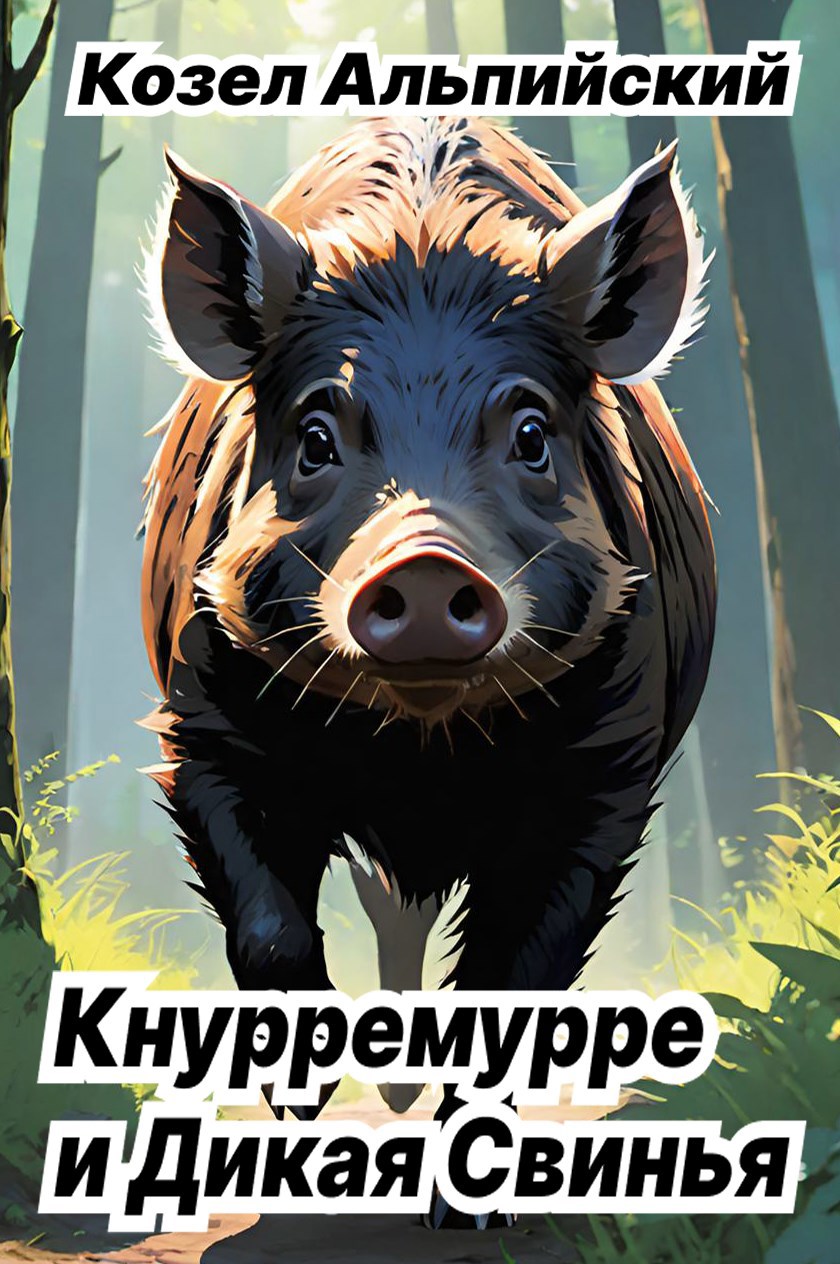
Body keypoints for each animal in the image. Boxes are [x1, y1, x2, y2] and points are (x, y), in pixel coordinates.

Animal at [140, 116, 716, 1224]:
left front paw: (470, 1211)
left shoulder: (607, 771)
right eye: (316, 437)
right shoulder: (202, 727)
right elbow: (268, 925)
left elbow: (516, 975)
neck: (419, 748)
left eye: (530, 433)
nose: (425, 560)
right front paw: (302, 1112)